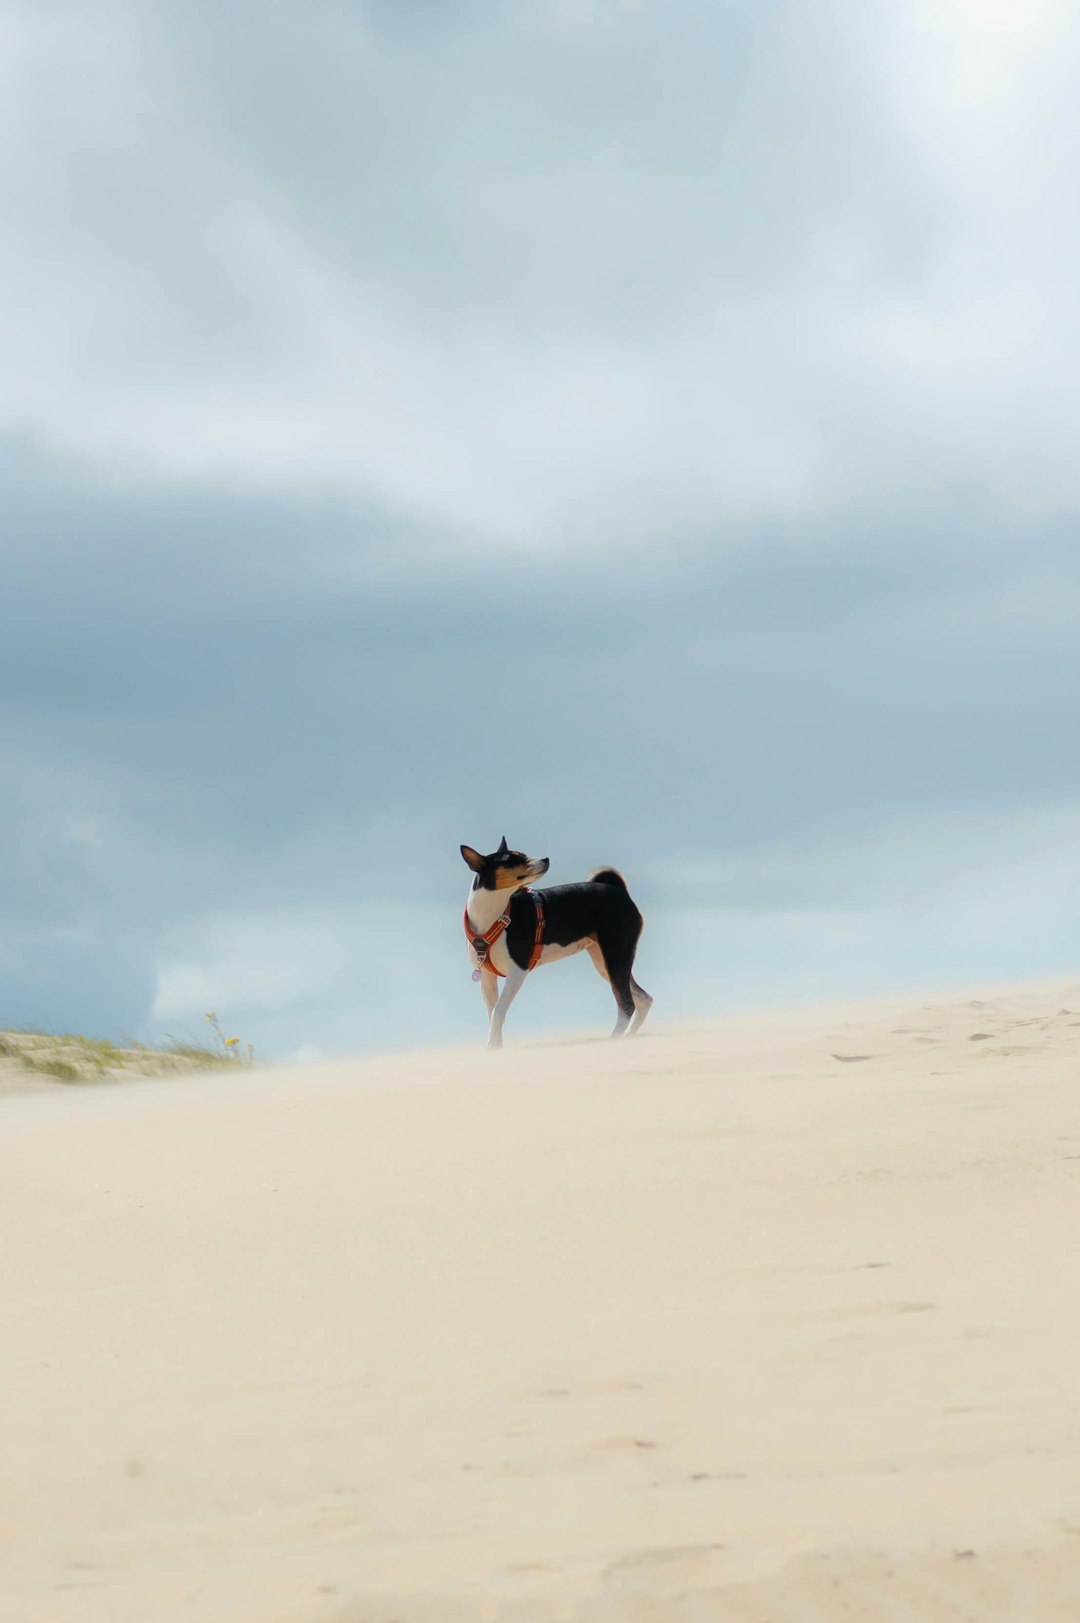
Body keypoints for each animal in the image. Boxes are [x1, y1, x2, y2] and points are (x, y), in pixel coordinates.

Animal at [461, 837, 652, 1051]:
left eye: (523, 854)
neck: (494, 915)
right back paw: (629, 1037)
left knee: (627, 1003)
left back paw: (615, 1039)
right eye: (512, 860)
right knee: (643, 999)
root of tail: (618, 890)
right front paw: (494, 1046)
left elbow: (498, 1010)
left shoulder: (517, 970)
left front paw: (493, 1045)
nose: (545, 859)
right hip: (605, 962)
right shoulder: (487, 976)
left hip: (615, 955)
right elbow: (493, 1012)